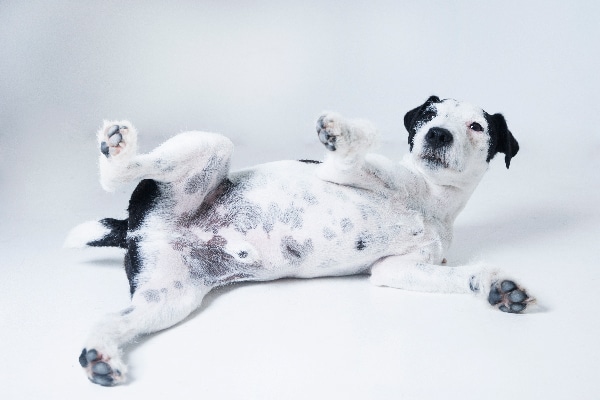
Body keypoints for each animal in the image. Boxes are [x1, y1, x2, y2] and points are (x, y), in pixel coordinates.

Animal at [64, 95, 536, 386]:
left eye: (475, 126)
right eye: (427, 117)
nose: (437, 134)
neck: (430, 196)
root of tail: (135, 226)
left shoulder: (397, 270)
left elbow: (464, 276)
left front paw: (496, 288)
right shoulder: (340, 172)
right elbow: (356, 149)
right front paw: (342, 133)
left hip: (167, 300)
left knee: (111, 320)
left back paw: (100, 356)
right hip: (211, 145)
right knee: (116, 174)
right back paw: (118, 150)